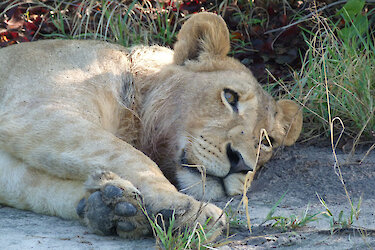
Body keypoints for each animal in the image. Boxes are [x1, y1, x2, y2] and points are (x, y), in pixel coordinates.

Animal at [0, 12, 302, 238]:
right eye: (230, 97)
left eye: (267, 141)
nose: (240, 164)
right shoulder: (37, 109)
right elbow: (131, 156)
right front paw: (185, 208)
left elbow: (35, 186)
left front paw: (112, 206)